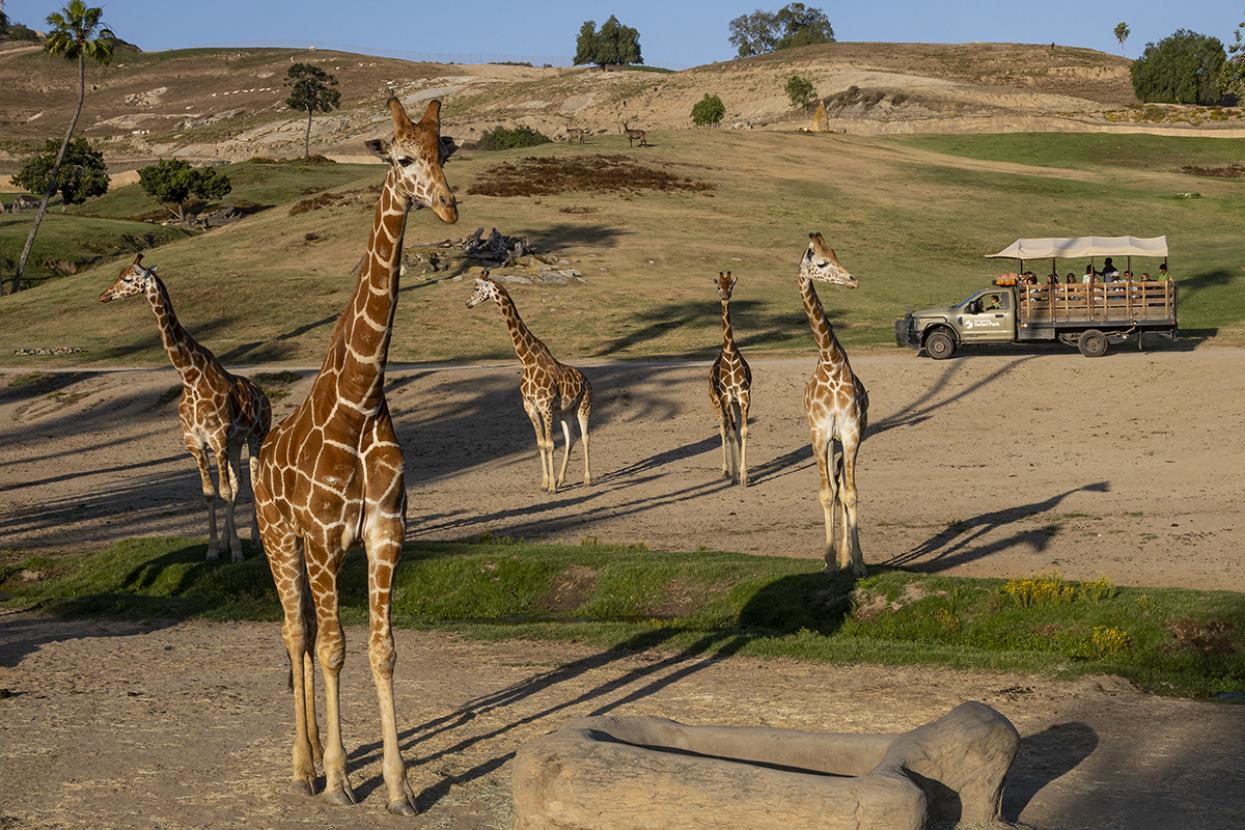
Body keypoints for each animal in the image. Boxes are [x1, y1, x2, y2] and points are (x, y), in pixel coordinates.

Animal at [97, 254, 270, 562]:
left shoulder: (217, 439)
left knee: (253, 482)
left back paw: (253, 540)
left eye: (128, 278)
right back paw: (229, 541)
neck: (190, 378)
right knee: (238, 483)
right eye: (118, 275)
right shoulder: (196, 443)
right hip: (236, 442)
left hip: (256, 435)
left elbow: (225, 492)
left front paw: (236, 552)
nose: (104, 295)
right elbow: (211, 493)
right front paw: (214, 549)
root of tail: (265, 396)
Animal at [253, 94, 457, 815]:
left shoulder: (385, 531)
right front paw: (342, 780)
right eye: (399, 159)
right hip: (278, 539)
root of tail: (257, 453)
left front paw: (400, 788)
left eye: (443, 150)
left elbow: (380, 649)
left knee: (309, 634)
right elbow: (335, 649)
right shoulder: (320, 536)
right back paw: (303, 767)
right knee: (296, 634)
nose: (449, 206)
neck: (361, 400)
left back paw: (314, 758)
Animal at [466, 273, 592, 494]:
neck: (526, 360)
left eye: (476, 288)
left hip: (584, 406)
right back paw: (561, 479)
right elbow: (541, 443)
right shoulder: (530, 407)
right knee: (571, 438)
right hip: (566, 410)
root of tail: (586, 378)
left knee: (585, 437)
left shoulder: (545, 406)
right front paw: (545, 483)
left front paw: (551, 488)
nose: (467, 303)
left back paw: (587, 480)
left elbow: (550, 444)